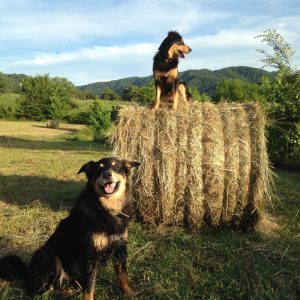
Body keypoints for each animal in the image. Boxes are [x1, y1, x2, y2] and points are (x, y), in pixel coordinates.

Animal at [0, 157, 141, 300]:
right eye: (98, 169)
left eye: (116, 166)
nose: (107, 174)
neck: (105, 209)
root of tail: (28, 272)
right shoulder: (89, 253)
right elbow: (89, 286)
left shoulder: (120, 248)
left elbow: (122, 275)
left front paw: (128, 292)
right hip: (48, 255)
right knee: (39, 291)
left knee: (56, 286)